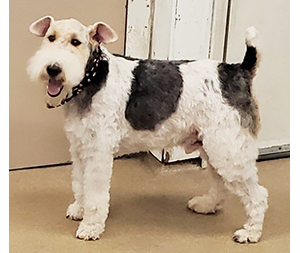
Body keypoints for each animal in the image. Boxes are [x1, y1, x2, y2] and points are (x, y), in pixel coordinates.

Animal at [27, 15, 268, 243]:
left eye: (76, 42)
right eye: (50, 37)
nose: (53, 69)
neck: (92, 79)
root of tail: (239, 69)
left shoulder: (98, 152)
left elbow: (95, 193)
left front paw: (90, 227)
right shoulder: (79, 148)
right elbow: (79, 183)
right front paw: (79, 209)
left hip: (227, 149)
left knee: (258, 196)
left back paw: (250, 232)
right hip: (215, 147)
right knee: (221, 183)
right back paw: (206, 204)